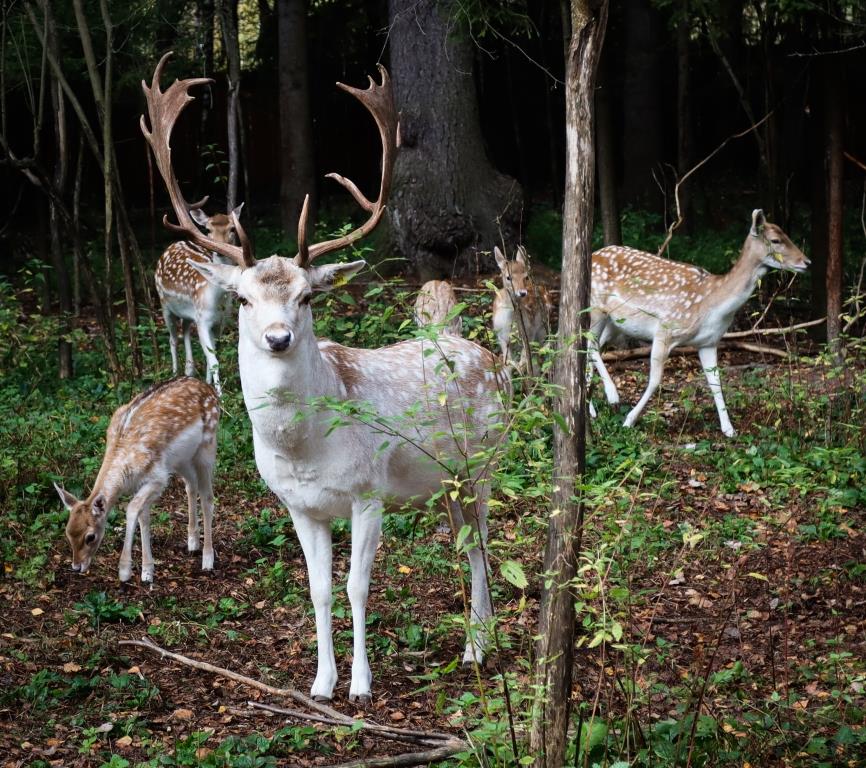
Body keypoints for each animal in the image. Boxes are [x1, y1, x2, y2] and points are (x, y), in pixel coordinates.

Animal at [53, 376, 219, 584]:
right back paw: (192, 542)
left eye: (90, 536)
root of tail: (210, 390)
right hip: (182, 459)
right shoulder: (140, 483)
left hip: (207, 447)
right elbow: (143, 517)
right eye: (68, 532)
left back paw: (207, 559)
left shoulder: (158, 478)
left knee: (208, 498)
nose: (77, 566)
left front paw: (125, 571)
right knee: (191, 485)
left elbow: (132, 510)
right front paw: (147, 572)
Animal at [154, 204, 243, 396]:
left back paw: (190, 370)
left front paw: (208, 384)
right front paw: (220, 395)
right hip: (164, 304)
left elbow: (212, 355)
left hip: (189, 314)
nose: (218, 249)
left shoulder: (220, 322)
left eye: (232, 228)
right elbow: (214, 359)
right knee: (173, 338)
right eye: (208, 229)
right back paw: (175, 373)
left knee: (185, 329)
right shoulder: (203, 320)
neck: (216, 300)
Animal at [490, 244, 552, 376]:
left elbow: (525, 361)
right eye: (508, 277)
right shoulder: (501, 337)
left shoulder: (529, 332)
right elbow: (508, 364)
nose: (522, 292)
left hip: (542, 329)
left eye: (526, 276)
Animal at [588, 212, 808, 438]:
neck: (712, 305)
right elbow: (655, 380)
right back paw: (612, 396)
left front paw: (729, 429)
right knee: (589, 343)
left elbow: (716, 384)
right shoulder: (665, 329)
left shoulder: (709, 342)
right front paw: (629, 420)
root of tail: (594, 254)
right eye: (775, 240)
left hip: (614, 325)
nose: (807, 262)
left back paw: (591, 409)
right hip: (596, 307)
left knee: (590, 347)